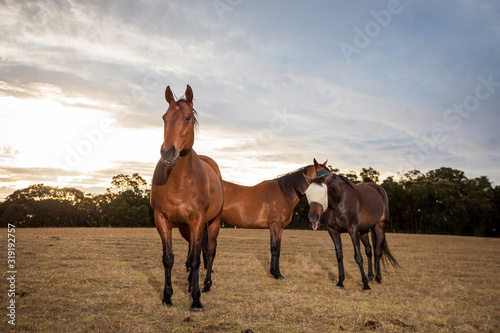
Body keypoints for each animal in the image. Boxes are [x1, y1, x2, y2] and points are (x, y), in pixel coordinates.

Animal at [149, 84, 224, 310]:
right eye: (164, 117)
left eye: (188, 117)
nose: (167, 154)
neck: (180, 181)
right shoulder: (162, 219)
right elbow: (169, 258)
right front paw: (167, 296)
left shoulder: (198, 219)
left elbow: (196, 259)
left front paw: (196, 300)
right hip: (185, 227)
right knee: (193, 249)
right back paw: (191, 283)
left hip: (213, 222)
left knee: (209, 250)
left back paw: (206, 284)